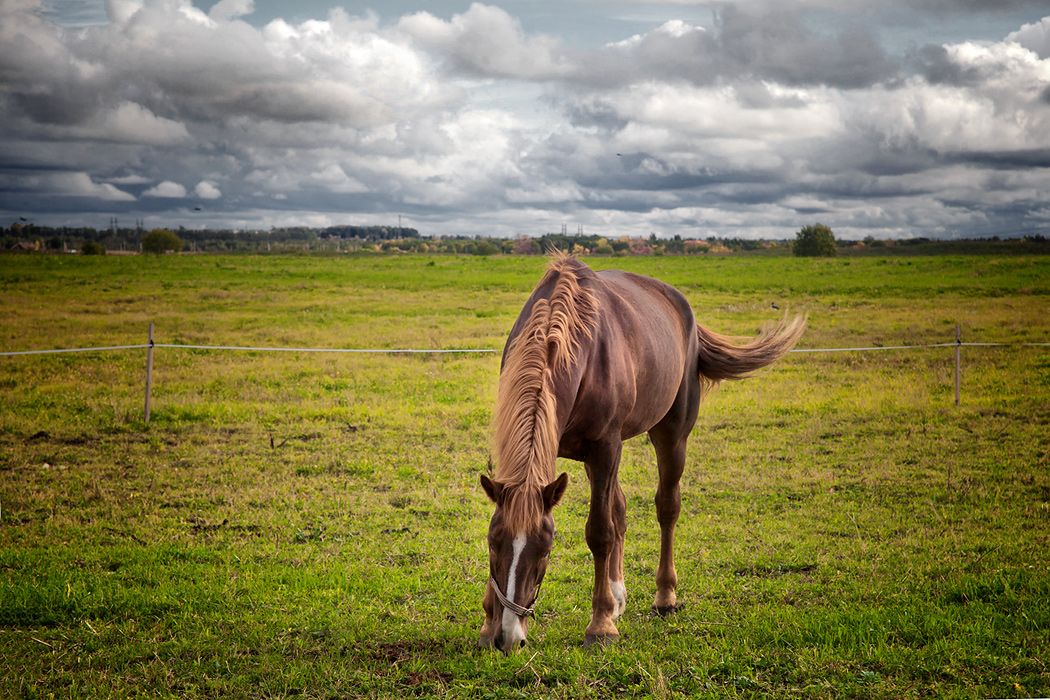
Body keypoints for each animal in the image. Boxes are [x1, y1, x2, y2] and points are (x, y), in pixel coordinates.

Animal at [480, 251, 806, 650]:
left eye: (545, 549)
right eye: (494, 544)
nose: (509, 636)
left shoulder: (605, 447)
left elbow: (600, 532)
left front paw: (600, 625)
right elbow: (609, 518)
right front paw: (488, 624)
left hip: (669, 436)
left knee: (667, 507)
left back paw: (664, 597)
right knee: (620, 507)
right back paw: (619, 595)